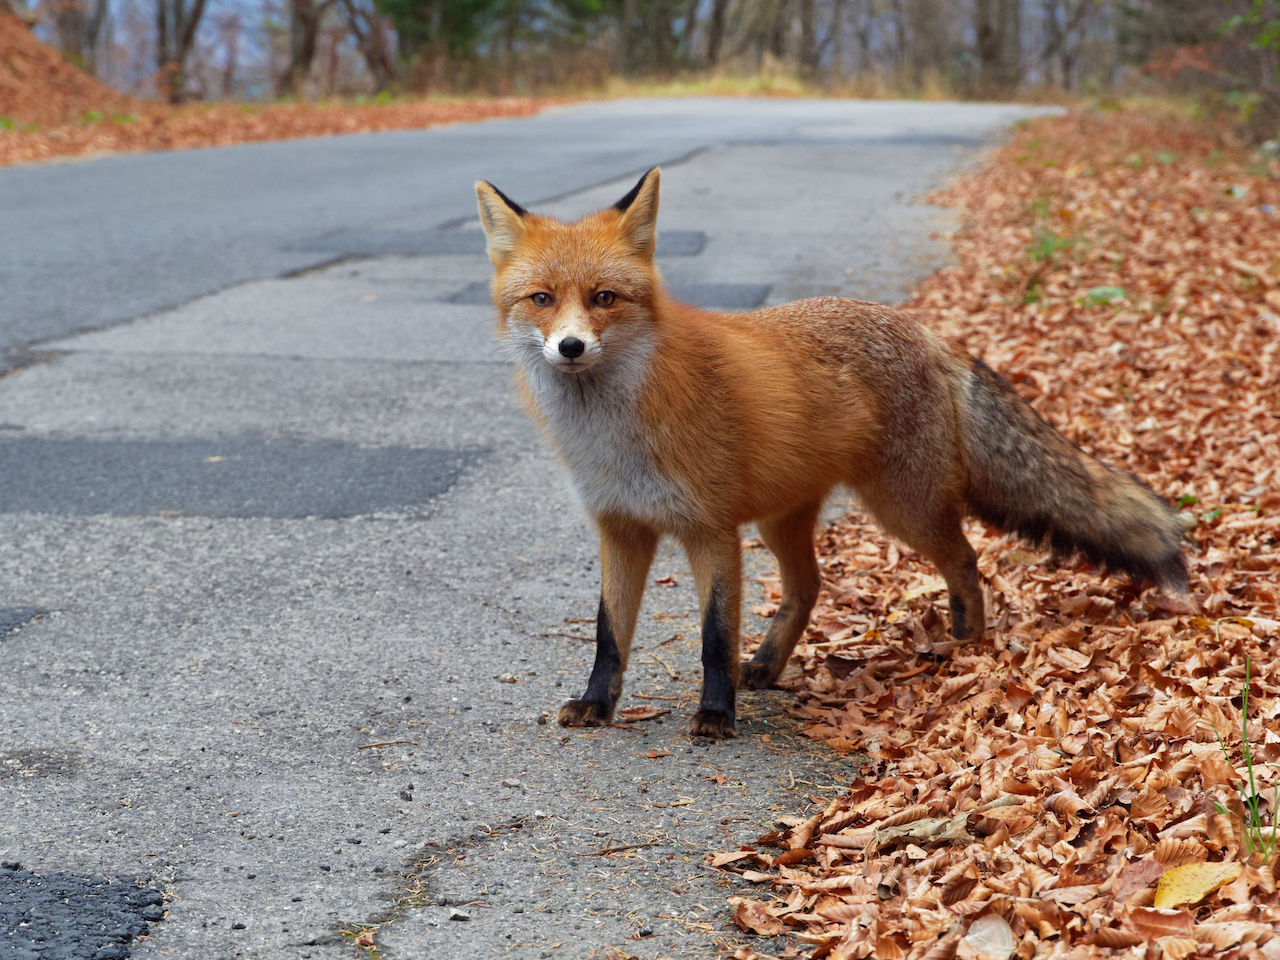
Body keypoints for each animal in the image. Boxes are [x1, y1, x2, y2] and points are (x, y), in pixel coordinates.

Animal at [473, 167, 1187, 742]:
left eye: (604, 298)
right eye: (542, 299)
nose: (570, 347)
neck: (613, 437)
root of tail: (926, 332)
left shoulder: (711, 531)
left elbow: (713, 636)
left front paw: (716, 715)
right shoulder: (621, 529)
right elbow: (608, 634)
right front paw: (597, 705)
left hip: (901, 509)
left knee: (965, 559)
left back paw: (967, 640)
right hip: (781, 520)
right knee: (809, 587)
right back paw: (767, 665)